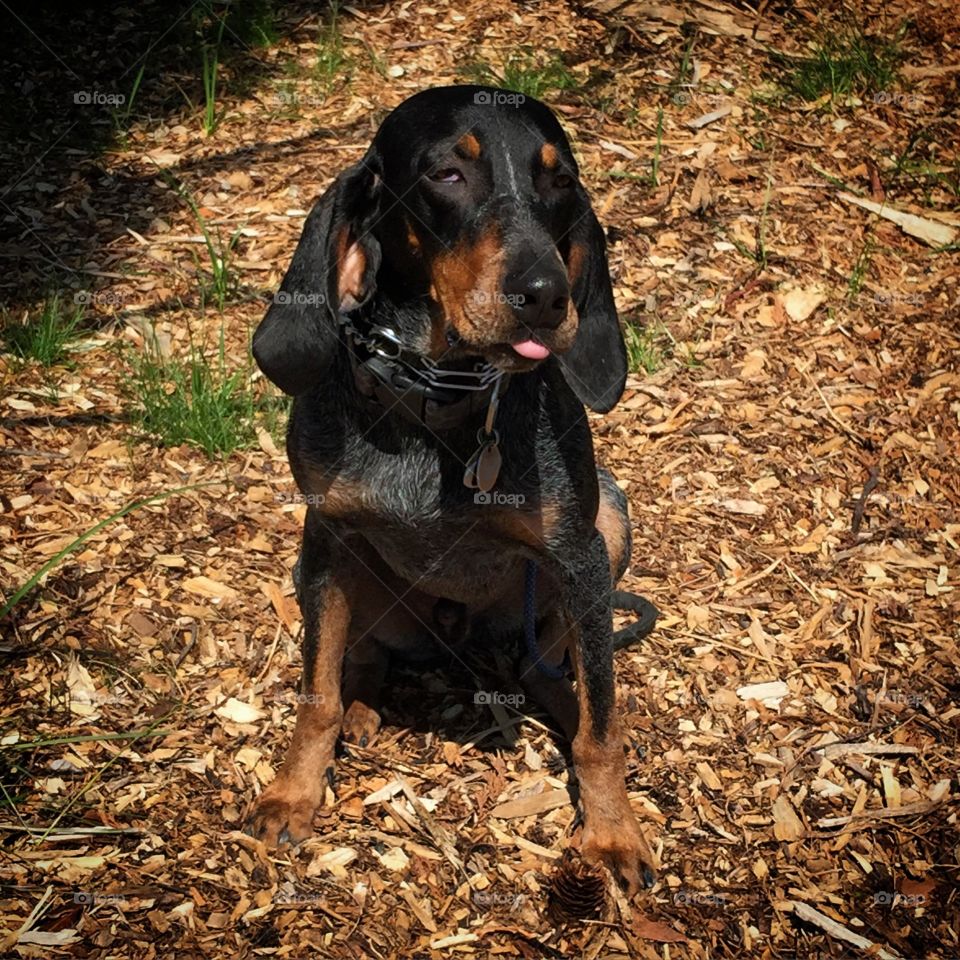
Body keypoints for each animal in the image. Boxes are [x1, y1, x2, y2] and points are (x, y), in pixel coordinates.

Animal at [244, 82, 656, 892]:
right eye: (447, 175)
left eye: (560, 181)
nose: (547, 294)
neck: (437, 401)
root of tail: (453, 637)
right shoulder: (327, 535)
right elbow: (316, 696)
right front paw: (294, 791)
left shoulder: (581, 554)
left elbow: (603, 729)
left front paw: (613, 833)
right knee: (361, 659)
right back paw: (364, 705)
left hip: (611, 526)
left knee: (549, 667)